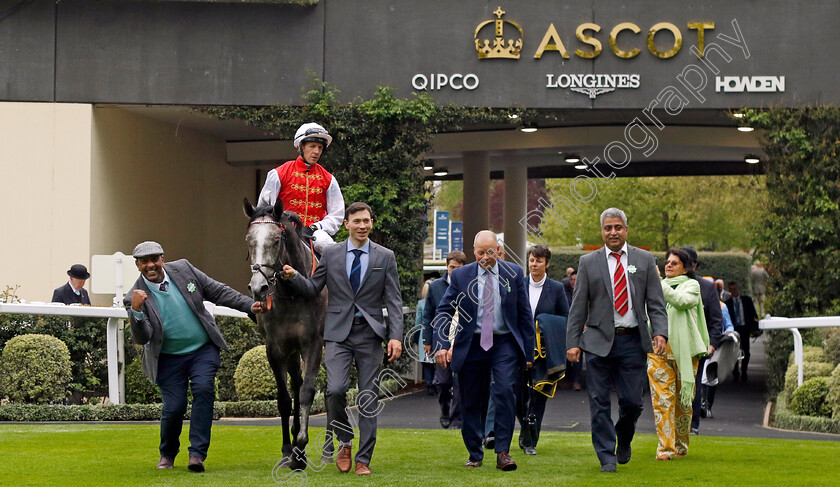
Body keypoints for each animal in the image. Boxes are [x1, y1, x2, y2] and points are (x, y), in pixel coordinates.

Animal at [244, 198, 326, 472]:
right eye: (249, 240)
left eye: (276, 240)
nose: (259, 287)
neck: (293, 293)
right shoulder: (275, 347)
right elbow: (284, 398)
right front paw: (288, 449)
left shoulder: (313, 344)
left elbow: (307, 391)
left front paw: (300, 448)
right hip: (290, 352)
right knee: (294, 384)